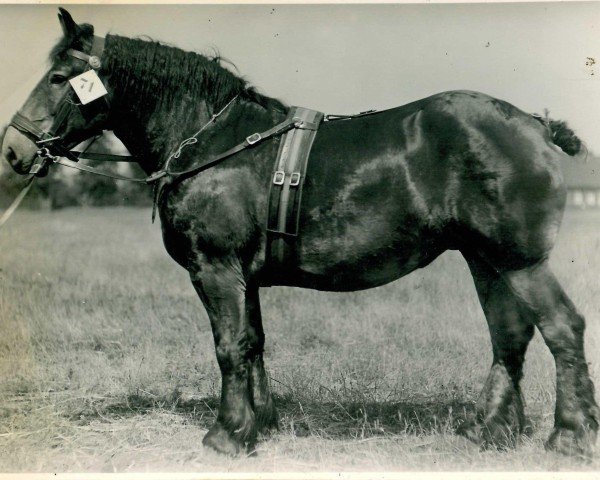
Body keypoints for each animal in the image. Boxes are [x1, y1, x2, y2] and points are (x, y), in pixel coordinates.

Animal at [2, 8, 596, 458]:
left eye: (58, 78)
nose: (14, 149)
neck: (213, 142)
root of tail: (535, 124)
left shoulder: (216, 269)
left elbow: (229, 346)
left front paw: (226, 434)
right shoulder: (244, 277)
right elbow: (253, 343)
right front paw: (257, 422)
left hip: (520, 261)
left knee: (562, 328)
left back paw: (568, 434)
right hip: (485, 260)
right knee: (509, 336)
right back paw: (490, 427)